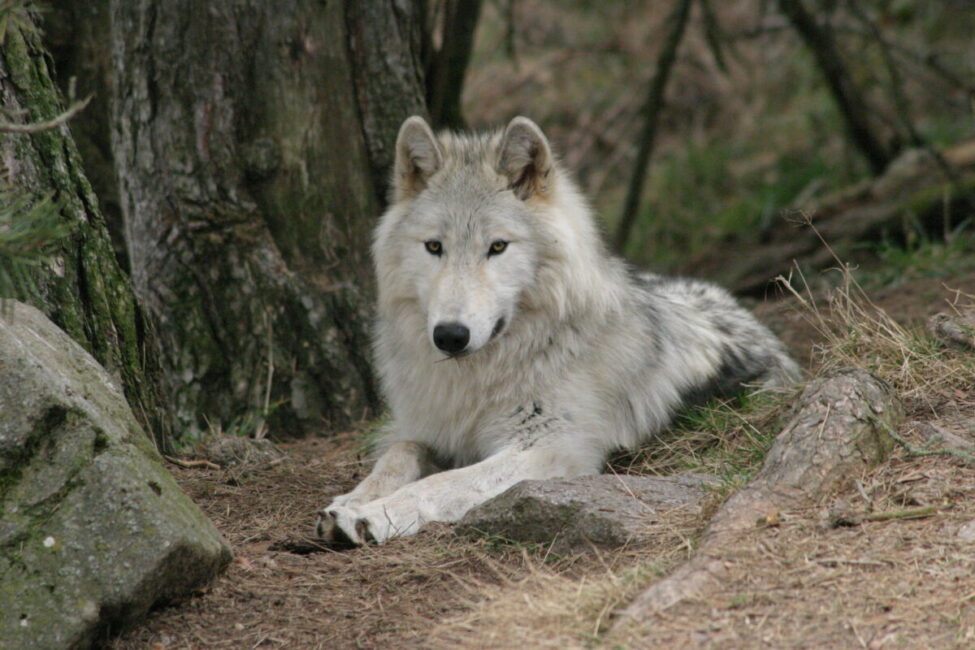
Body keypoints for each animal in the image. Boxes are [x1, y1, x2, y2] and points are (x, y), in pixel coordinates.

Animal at [320, 115, 800, 540]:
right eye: (434, 247)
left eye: (497, 247)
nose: (450, 335)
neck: (481, 378)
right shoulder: (428, 429)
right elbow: (399, 454)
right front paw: (351, 501)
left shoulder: (554, 447)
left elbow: (443, 483)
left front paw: (378, 513)